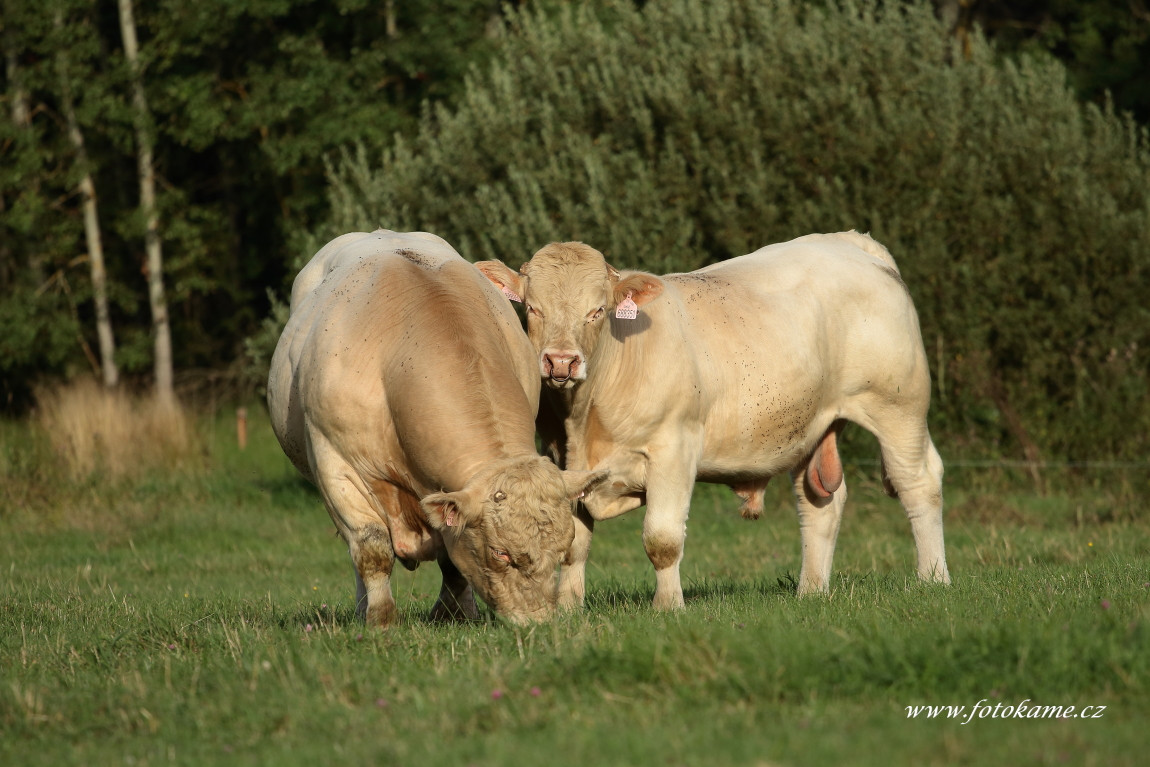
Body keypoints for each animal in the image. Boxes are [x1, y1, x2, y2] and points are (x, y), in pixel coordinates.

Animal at [265, 231, 607, 625]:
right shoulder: (334, 462)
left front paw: (454, 612)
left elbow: (452, 556)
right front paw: (380, 620)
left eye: (562, 548)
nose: (537, 622)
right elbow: (371, 548)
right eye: (500, 553)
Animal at [476, 231, 952, 607]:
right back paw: (812, 591)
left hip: (898, 406)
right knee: (818, 503)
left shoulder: (674, 449)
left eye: (597, 310)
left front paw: (668, 607)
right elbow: (575, 543)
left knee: (918, 482)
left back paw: (932, 579)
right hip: (811, 425)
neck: (584, 420)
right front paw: (569, 607)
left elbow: (662, 540)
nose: (561, 361)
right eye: (532, 309)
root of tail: (850, 242)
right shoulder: (563, 460)